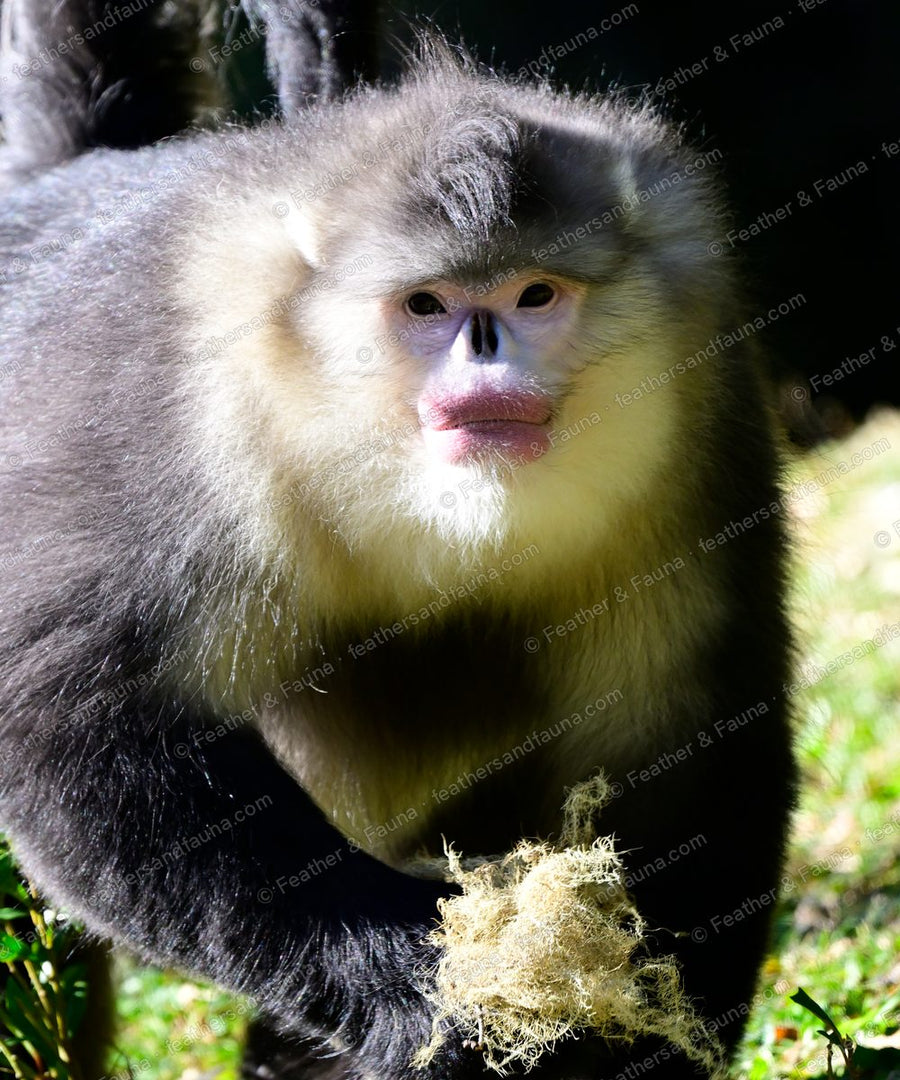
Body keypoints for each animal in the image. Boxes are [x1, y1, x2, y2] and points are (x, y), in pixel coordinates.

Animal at [0, 2, 796, 1077]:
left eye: (534, 295)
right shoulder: (181, 429)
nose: (486, 364)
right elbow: (72, 730)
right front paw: (419, 996)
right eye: (427, 304)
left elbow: (698, 745)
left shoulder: (697, 426)